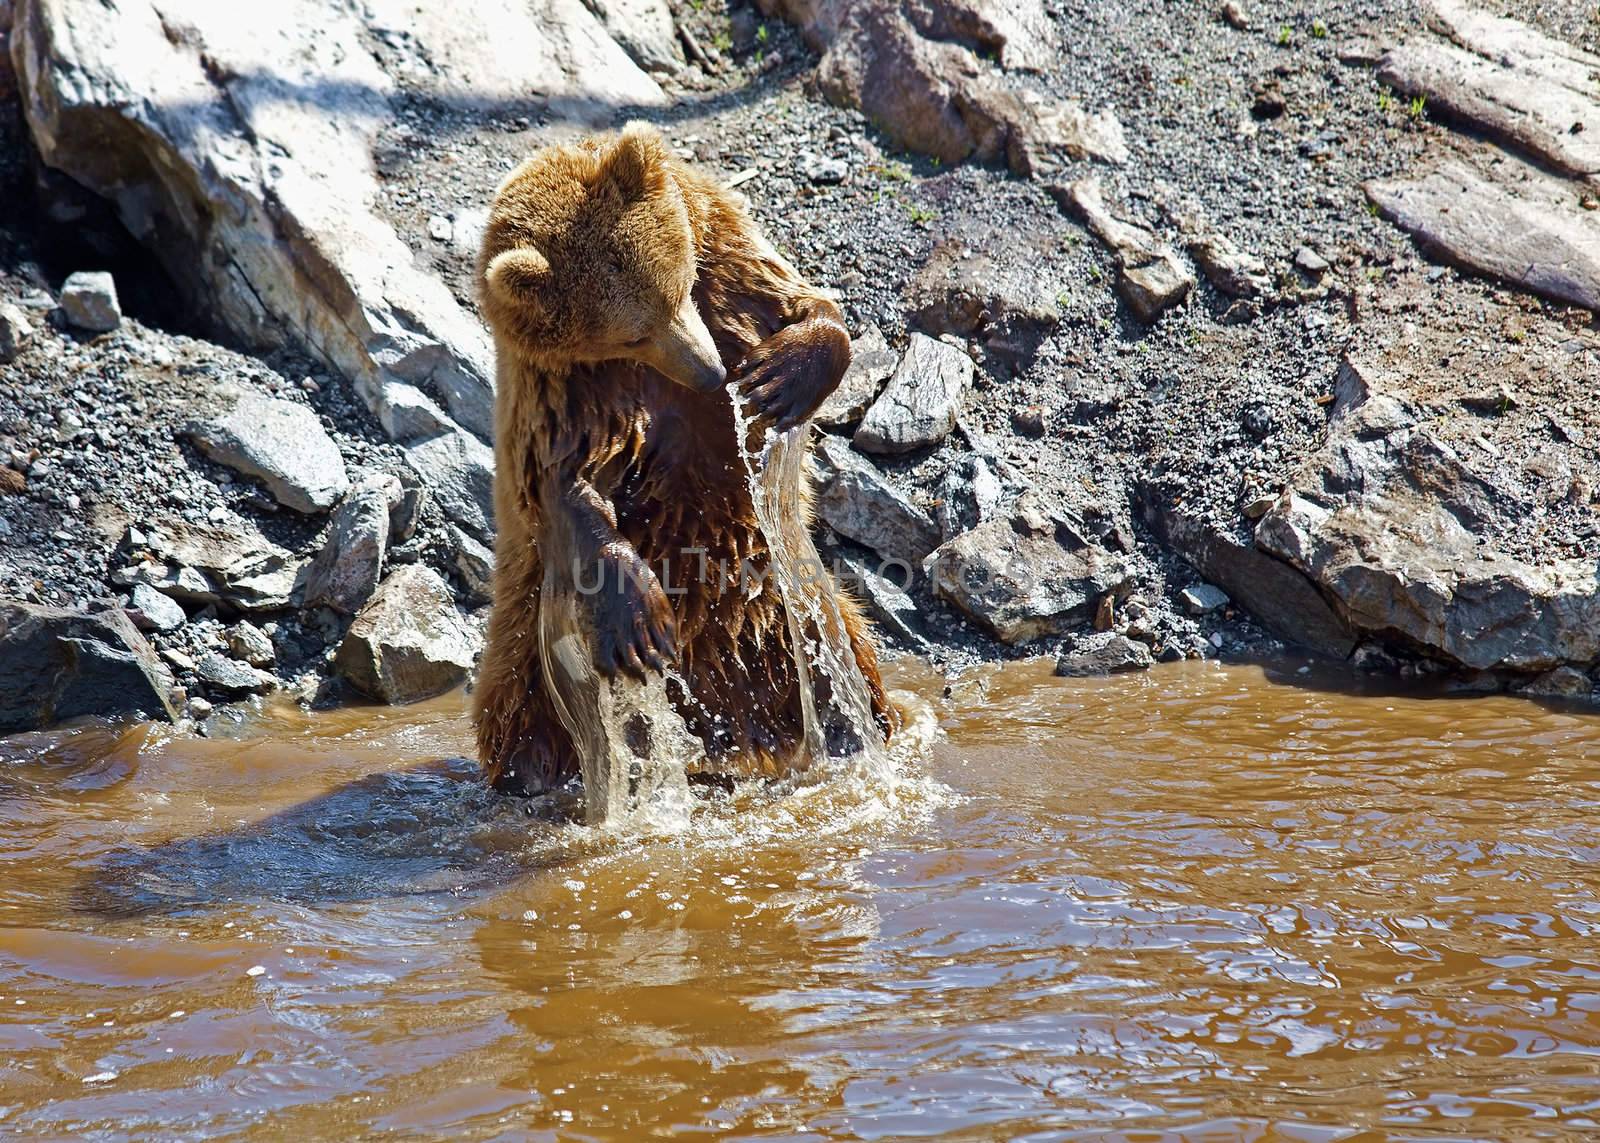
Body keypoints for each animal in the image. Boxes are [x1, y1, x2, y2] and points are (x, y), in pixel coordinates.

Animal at [473, 116, 902, 794]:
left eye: (678, 285)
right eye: (631, 333)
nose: (710, 373)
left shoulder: (727, 264)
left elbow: (801, 302)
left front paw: (780, 377)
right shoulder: (564, 392)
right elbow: (568, 483)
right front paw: (638, 618)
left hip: (790, 608)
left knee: (846, 651)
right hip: (528, 635)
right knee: (520, 713)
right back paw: (529, 771)